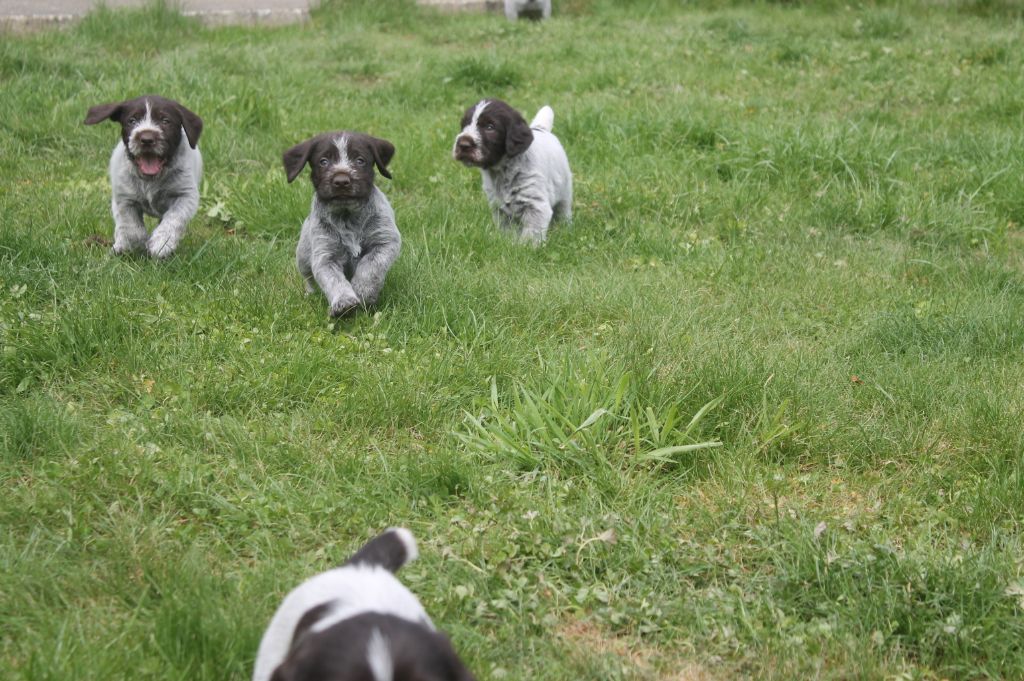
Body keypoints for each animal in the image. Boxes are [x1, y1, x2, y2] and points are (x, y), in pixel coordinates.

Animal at [82, 93, 202, 258]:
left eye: (165, 121)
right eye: (132, 121)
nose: (146, 139)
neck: (150, 179)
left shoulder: (185, 196)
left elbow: (173, 219)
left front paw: (161, 243)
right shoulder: (125, 199)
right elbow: (132, 228)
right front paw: (137, 242)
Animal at [288, 131, 403, 317]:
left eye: (360, 160)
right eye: (323, 161)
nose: (341, 181)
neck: (347, 216)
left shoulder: (385, 241)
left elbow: (371, 267)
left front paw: (363, 292)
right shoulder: (325, 256)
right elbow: (334, 281)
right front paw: (344, 302)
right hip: (303, 258)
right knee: (309, 279)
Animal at [452, 96, 573, 242]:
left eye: (490, 127)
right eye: (464, 125)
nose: (463, 144)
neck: (502, 170)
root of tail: (540, 129)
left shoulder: (536, 206)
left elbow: (531, 234)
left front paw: (524, 246)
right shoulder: (499, 208)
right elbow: (507, 231)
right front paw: (507, 242)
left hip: (565, 189)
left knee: (563, 209)